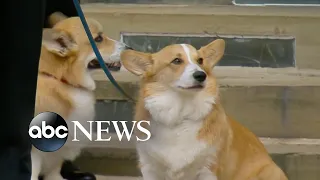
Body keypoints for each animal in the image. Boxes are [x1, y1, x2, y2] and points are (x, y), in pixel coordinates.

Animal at [31, 12, 131, 180]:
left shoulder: (56, 159)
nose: (129, 48)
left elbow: (54, 173)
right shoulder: (34, 154)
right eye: (98, 39)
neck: (61, 79)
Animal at [120, 39, 288, 180]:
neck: (180, 116)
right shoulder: (150, 167)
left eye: (200, 60)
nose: (201, 75)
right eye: (176, 61)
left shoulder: (208, 169)